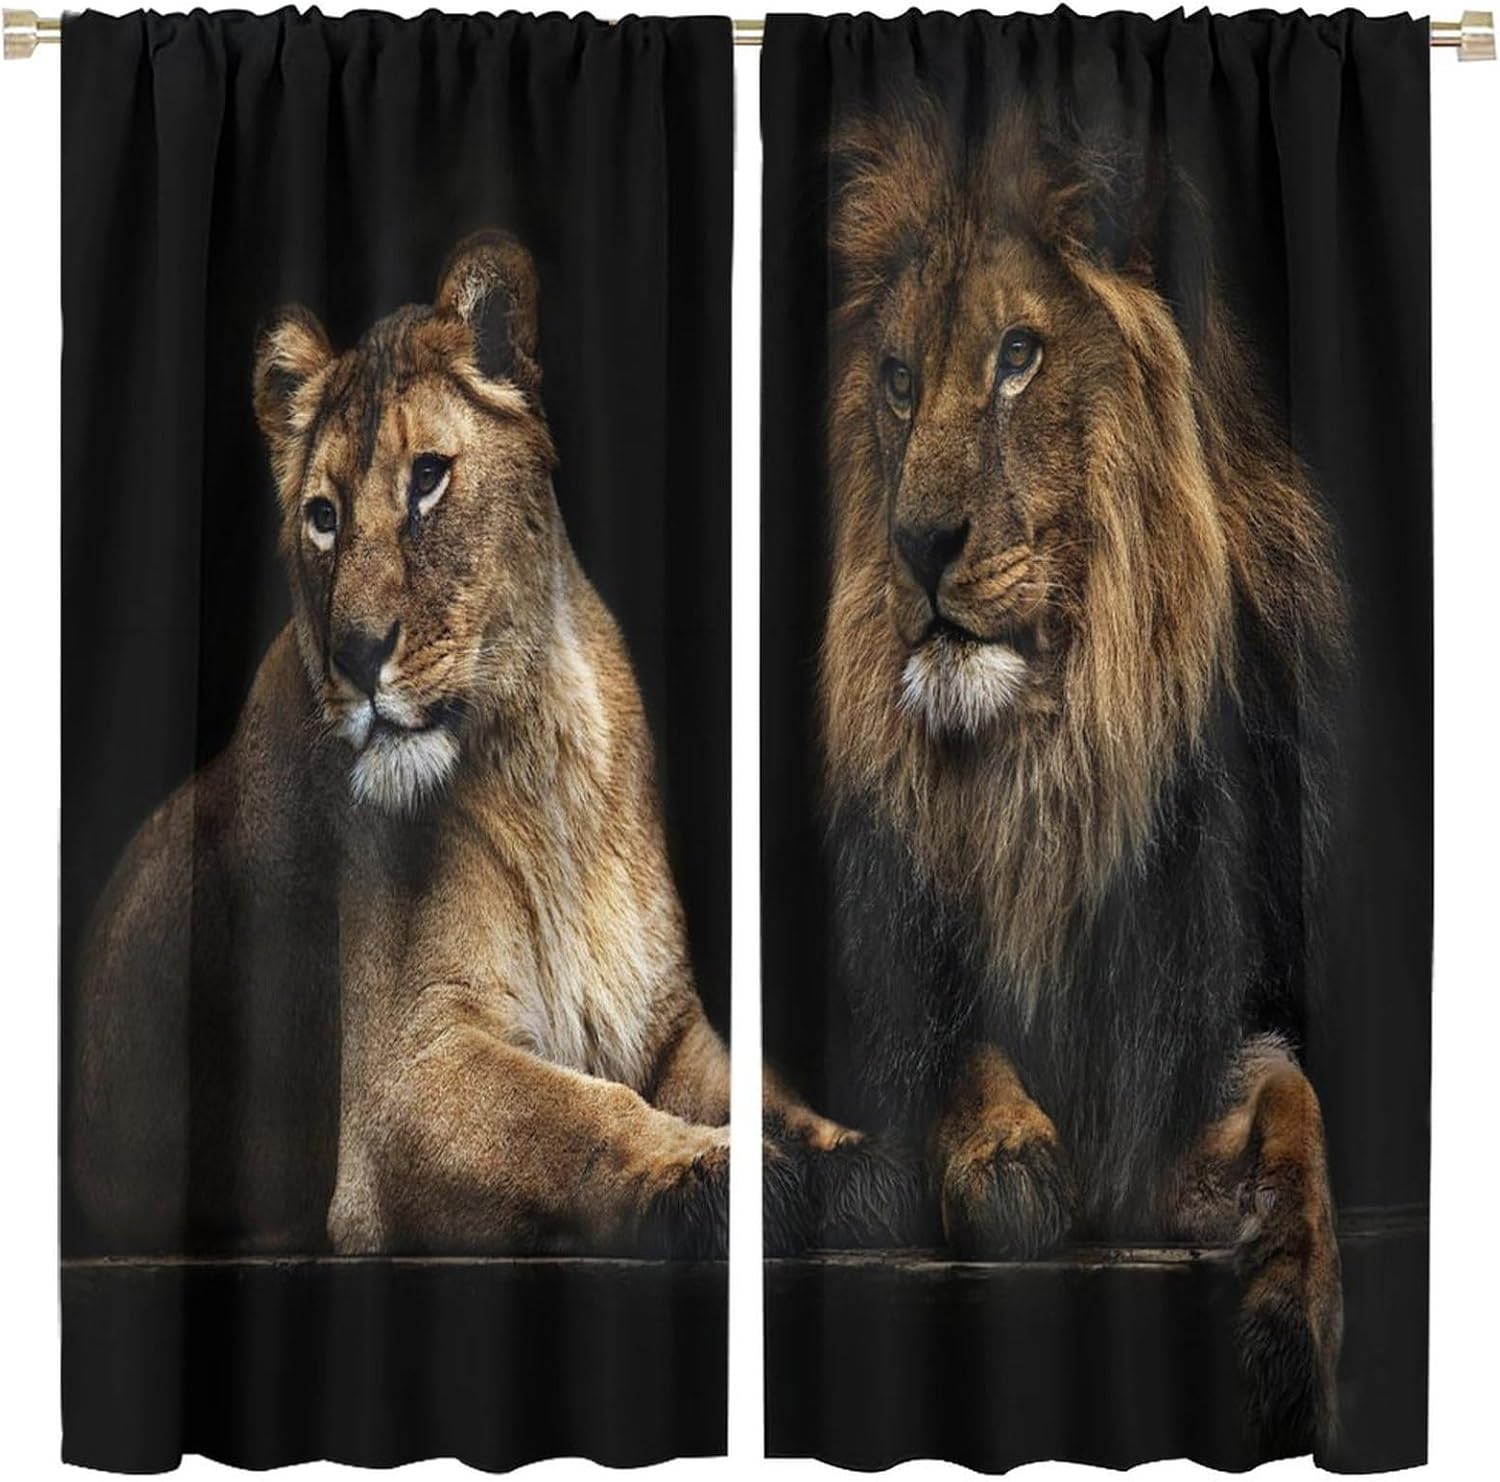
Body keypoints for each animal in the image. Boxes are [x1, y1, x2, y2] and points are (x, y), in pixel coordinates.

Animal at [70, 231, 844, 1257]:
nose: (358, 656)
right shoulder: (403, 1083)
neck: (541, 751)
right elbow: (585, 1112)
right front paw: (718, 1172)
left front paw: (850, 1155)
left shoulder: (671, 1028)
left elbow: (767, 1090)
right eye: (323, 516)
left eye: (429, 478)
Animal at [817, 103, 1348, 1454]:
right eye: (900, 379)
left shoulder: (1204, 1021)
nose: (918, 543)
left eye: (1019, 357)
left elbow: (1297, 1108)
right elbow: (954, 1054)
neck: (1048, 766)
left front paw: (1292, 1319)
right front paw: (1005, 1152)